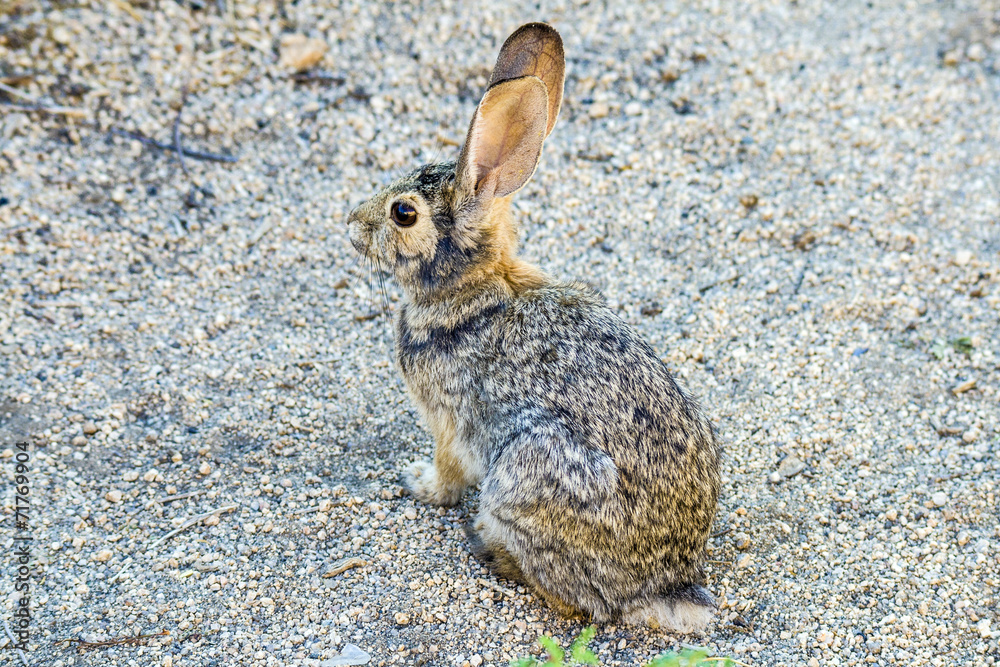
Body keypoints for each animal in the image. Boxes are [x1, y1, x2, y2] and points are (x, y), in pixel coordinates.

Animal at [347, 22, 721, 633]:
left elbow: (447, 473)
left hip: (524, 475)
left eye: (404, 213)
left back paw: (489, 546)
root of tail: (665, 584)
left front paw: (418, 482)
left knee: (577, 602)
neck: (472, 292)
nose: (352, 226)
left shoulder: (449, 423)